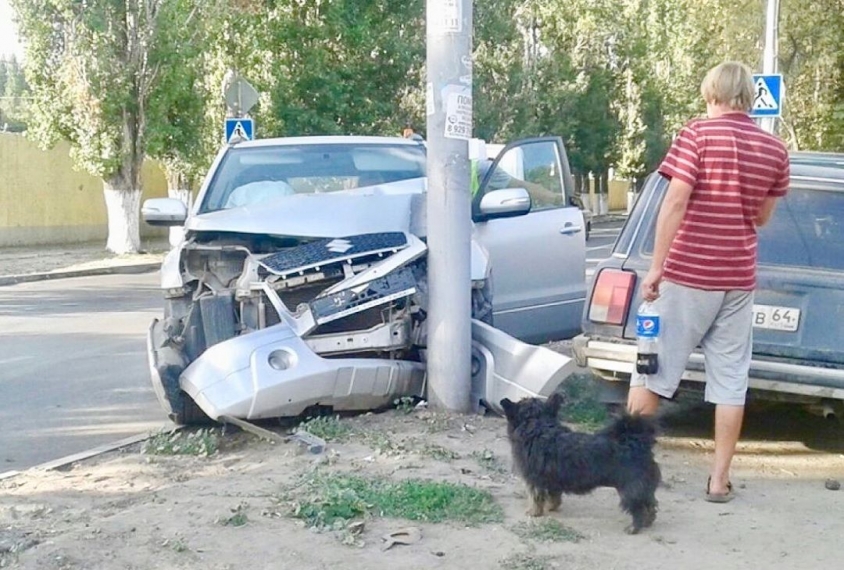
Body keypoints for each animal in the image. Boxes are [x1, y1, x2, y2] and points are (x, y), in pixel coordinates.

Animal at [502, 390, 660, 532]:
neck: (537, 425)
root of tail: (635, 442)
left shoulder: (534, 480)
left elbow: (536, 498)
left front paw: (534, 512)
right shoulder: (552, 481)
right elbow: (554, 496)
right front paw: (552, 507)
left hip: (630, 490)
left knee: (639, 508)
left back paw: (634, 527)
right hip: (643, 488)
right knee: (650, 504)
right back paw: (648, 521)